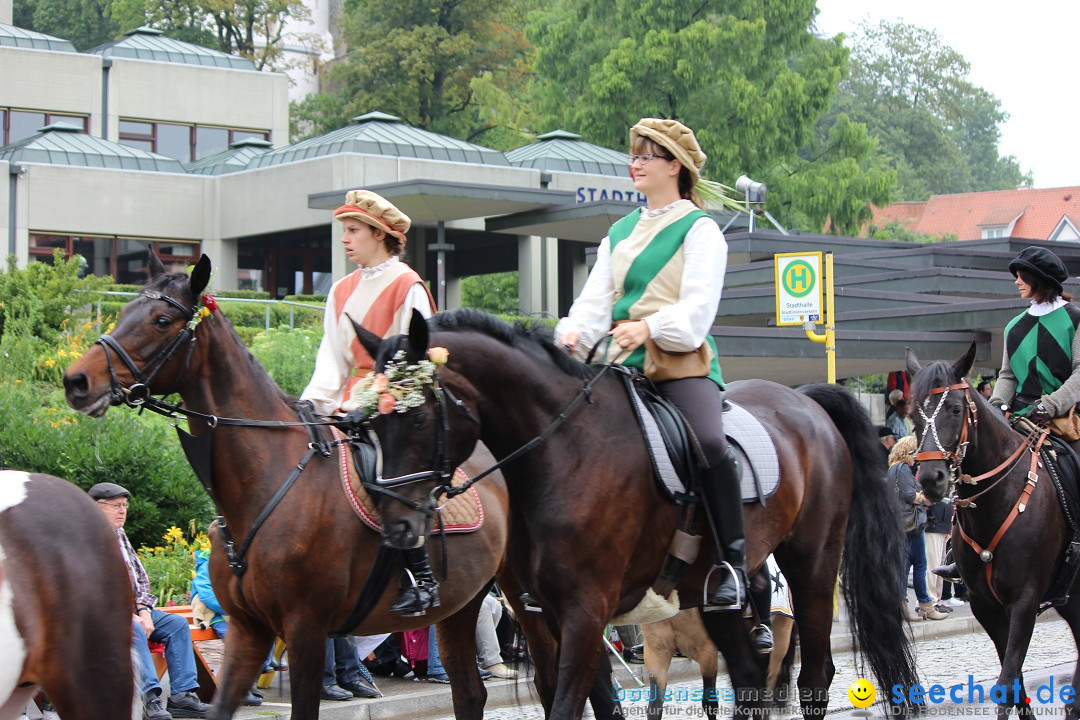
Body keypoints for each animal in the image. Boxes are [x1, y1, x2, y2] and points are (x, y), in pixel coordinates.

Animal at [60, 257, 514, 720]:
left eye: (161, 320)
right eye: (123, 312)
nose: (76, 381)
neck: (266, 478)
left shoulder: (306, 628)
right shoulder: (249, 629)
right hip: (461, 607)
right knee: (469, 692)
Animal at [349, 310, 915, 720]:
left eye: (417, 417)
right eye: (370, 421)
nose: (398, 528)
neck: (561, 451)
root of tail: (805, 402)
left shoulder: (585, 611)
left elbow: (568, 704)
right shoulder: (552, 613)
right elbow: (596, 700)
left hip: (812, 565)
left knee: (814, 676)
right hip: (714, 592)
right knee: (750, 676)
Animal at [911, 345, 1080, 720]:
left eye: (956, 409)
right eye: (915, 414)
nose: (930, 479)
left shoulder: (1024, 601)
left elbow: (1006, 681)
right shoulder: (985, 606)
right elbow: (1012, 676)